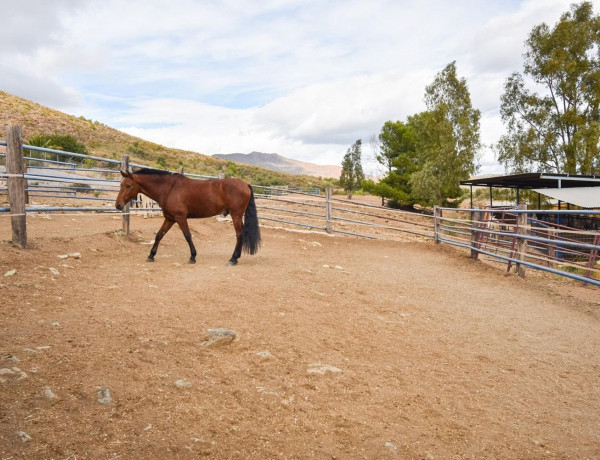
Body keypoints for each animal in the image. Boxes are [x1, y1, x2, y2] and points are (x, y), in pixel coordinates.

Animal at [115, 169, 260, 264]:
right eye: (121, 184)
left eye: (128, 185)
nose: (118, 205)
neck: (169, 188)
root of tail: (245, 184)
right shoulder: (170, 219)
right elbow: (159, 235)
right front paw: (151, 255)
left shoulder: (180, 218)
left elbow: (188, 236)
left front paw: (193, 257)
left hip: (236, 215)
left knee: (239, 235)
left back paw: (233, 258)